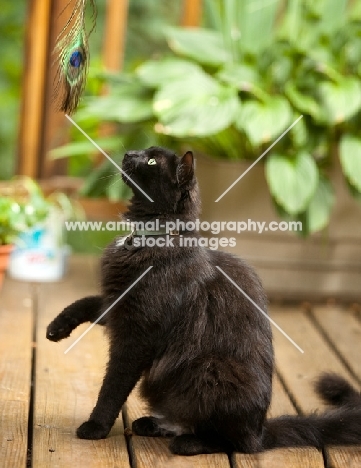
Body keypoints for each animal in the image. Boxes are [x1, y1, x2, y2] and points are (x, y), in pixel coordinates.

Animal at [46, 146, 358, 454]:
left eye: (151, 160)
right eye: (143, 151)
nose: (128, 154)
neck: (149, 238)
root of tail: (261, 430)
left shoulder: (136, 335)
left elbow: (113, 386)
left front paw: (96, 427)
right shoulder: (118, 305)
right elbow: (88, 302)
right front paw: (57, 327)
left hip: (209, 369)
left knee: (233, 442)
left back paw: (188, 443)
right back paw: (152, 424)